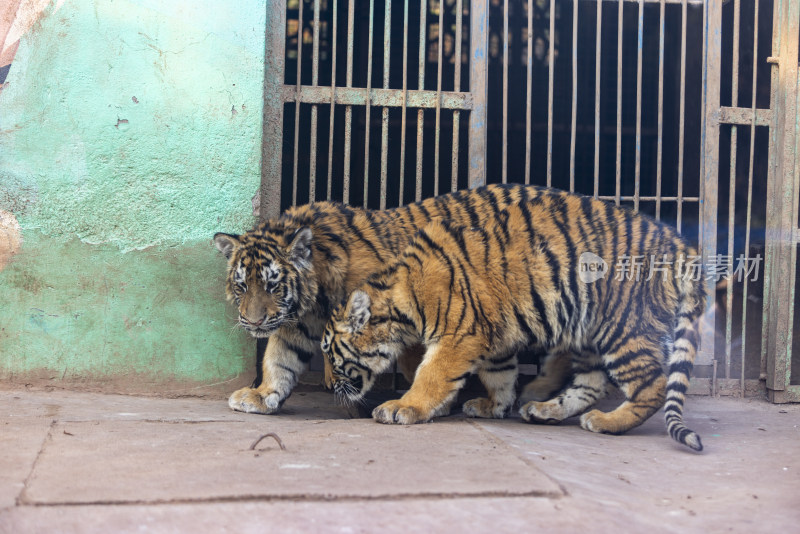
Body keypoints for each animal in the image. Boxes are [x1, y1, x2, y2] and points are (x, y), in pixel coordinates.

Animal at [212, 186, 552, 416]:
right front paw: (262, 395)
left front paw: (423, 405)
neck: (317, 293)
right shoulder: (298, 323)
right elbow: (279, 359)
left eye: (273, 286)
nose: (253, 322)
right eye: (242, 286)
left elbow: (418, 364)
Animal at [318, 193, 708, 452]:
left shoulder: (459, 335)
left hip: (623, 328)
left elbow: (431, 375)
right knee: (590, 384)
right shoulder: (493, 337)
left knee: (653, 385)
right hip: (590, 334)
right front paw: (494, 407)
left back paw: (607, 422)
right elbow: (499, 376)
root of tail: (682, 246)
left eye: (329, 352)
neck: (401, 300)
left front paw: (403, 407)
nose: (325, 385)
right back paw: (545, 411)